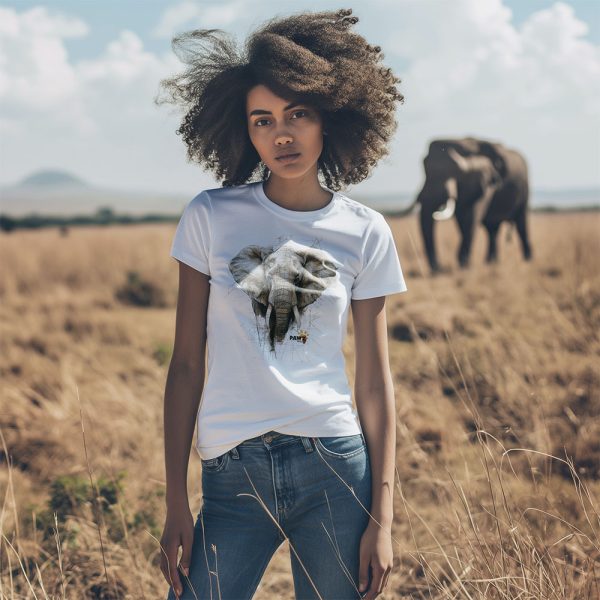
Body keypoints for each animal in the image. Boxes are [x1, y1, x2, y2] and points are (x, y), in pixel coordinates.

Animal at [396, 137, 532, 274]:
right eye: (424, 167)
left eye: (455, 172)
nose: (438, 269)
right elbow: (461, 221)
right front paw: (463, 264)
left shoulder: (485, 182)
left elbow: (471, 219)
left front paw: (464, 266)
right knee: (492, 229)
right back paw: (491, 263)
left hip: (524, 190)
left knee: (521, 224)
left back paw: (527, 261)